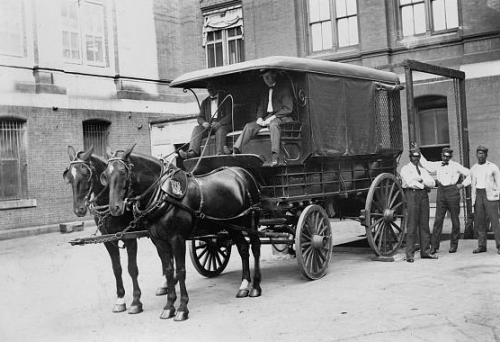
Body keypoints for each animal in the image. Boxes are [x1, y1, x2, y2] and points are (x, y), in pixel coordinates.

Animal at [62, 146, 167, 314]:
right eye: (69, 176)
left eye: (86, 174)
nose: (79, 209)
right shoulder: (109, 239)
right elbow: (116, 268)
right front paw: (120, 300)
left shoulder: (130, 238)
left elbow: (132, 268)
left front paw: (136, 301)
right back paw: (165, 284)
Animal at [102, 146, 264, 322]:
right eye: (106, 174)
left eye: (123, 172)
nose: (115, 208)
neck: (164, 195)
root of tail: (243, 172)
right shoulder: (160, 241)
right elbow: (168, 270)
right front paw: (169, 306)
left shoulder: (177, 239)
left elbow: (180, 271)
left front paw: (182, 308)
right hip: (232, 226)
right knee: (243, 248)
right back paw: (244, 286)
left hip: (249, 221)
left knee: (255, 247)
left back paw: (255, 286)